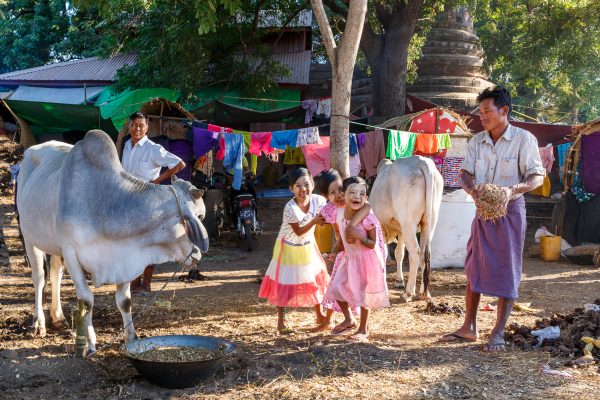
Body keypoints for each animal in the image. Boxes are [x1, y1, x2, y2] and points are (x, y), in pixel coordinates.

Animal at [17, 130, 209, 354]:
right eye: (200, 217)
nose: (198, 254)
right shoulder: (71, 252)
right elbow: (87, 300)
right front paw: (90, 343)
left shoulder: (124, 255)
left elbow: (125, 301)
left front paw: (131, 337)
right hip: (29, 235)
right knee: (39, 277)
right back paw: (39, 322)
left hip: (55, 246)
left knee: (56, 272)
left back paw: (58, 317)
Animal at [368, 158, 442, 302]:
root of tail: (423, 163)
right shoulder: (401, 231)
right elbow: (399, 253)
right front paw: (399, 280)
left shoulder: (382, 226)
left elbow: (384, 253)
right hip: (429, 223)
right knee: (425, 254)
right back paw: (424, 292)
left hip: (409, 223)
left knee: (415, 252)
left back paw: (408, 293)